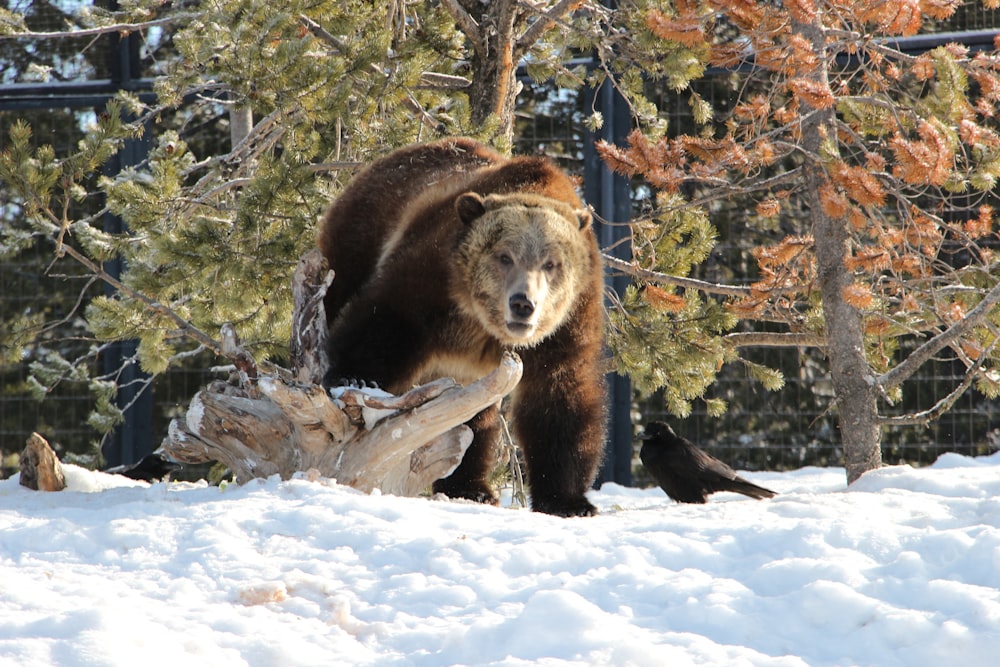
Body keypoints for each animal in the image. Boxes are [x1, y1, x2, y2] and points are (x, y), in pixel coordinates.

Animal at [316, 138, 604, 520]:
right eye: (504, 256)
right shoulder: (435, 272)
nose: (523, 303)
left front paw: (569, 501)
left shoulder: (567, 322)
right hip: (360, 235)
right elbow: (386, 322)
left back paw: (471, 486)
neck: (483, 323)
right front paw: (354, 378)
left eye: (551, 263)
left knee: (470, 419)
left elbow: (559, 399)